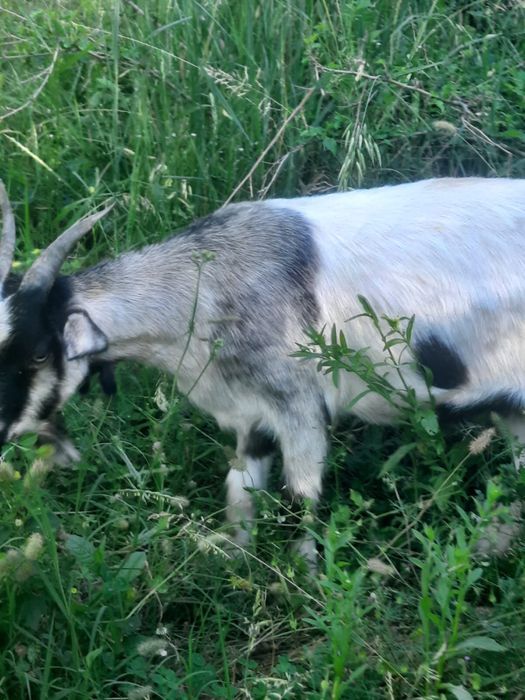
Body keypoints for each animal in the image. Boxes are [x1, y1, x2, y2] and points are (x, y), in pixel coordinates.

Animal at [0, 177, 524, 559]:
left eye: (40, 354)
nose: (5, 430)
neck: (206, 287)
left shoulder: (300, 408)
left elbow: (302, 499)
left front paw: (304, 579)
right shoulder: (250, 413)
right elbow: (241, 492)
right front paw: (238, 563)